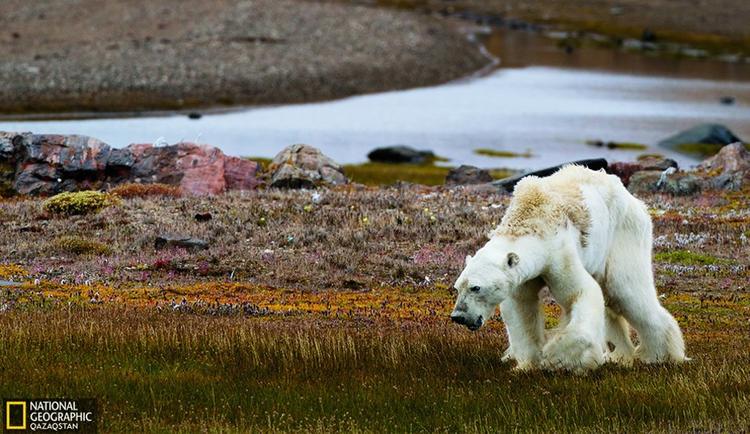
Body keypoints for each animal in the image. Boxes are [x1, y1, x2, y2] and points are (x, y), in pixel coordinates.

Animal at [450, 164, 692, 372]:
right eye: (457, 287)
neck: (531, 219)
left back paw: (658, 355)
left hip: (623, 234)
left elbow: (581, 293)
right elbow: (521, 308)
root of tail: (635, 201)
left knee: (626, 291)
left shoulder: (559, 253)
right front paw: (526, 364)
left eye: (476, 287)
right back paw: (619, 355)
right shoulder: (523, 276)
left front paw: (558, 357)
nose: (458, 316)